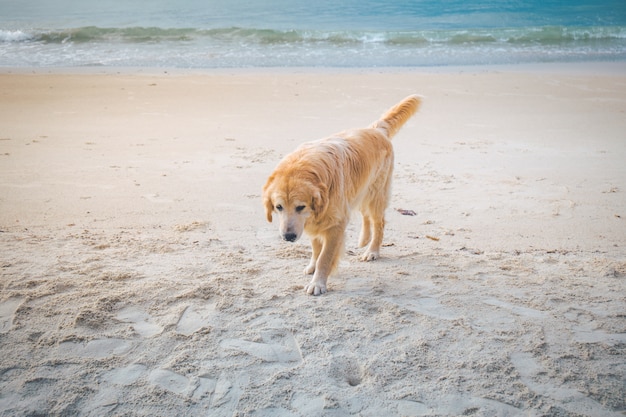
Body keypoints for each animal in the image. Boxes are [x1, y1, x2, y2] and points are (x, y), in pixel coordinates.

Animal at [264, 95, 420, 294]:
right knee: (365, 215)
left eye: (300, 207)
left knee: (379, 223)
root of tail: (376, 129)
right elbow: (316, 249)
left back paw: (372, 251)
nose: (288, 237)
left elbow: (325, 257)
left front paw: (318, 283)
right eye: (278, 207)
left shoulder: (335, 224)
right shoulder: (315, 222)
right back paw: (363, 240)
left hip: (376, 194)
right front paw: (312, 267)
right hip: (360, 191)